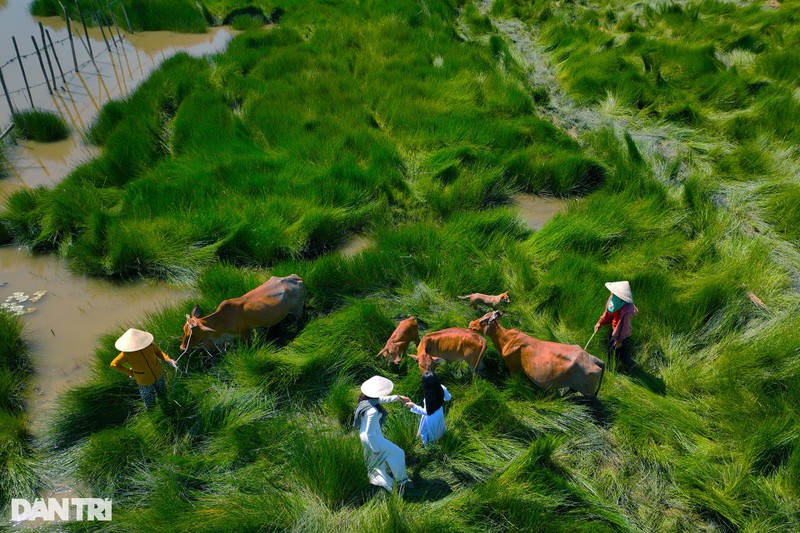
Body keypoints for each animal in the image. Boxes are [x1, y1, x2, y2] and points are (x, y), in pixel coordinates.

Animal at [466, 308, 604, 394]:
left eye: (484, 320)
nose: (471, 324)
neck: (506, 339)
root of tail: (594, 359)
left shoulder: (513, 367)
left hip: (586, 390)